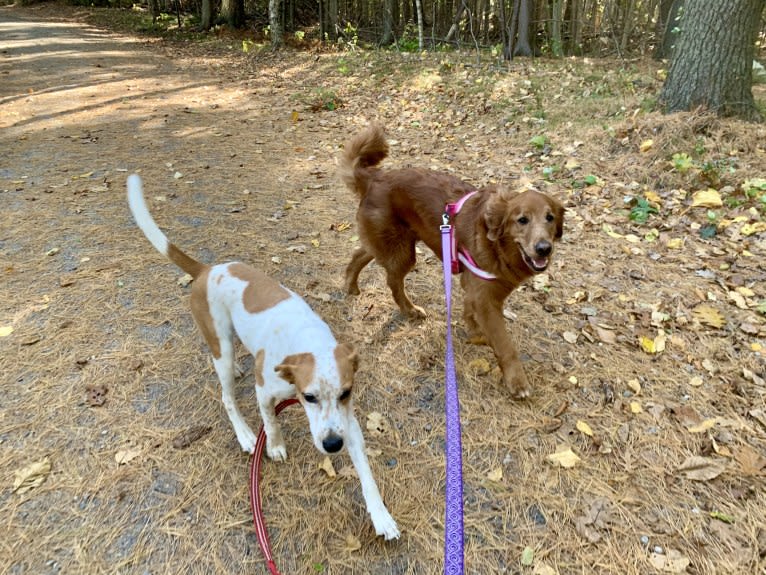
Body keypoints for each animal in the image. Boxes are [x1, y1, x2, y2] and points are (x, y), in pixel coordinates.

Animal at [126, 174, 402, 540]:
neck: (306, 339)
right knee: (226, 397)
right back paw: (244, 433)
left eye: (346, 393)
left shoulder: (347, 420)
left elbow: (367, 473)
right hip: (222, 347)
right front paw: (272, 445)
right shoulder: (266, 390)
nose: (332, 445)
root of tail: (206, 270)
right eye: (309, 397)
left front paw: (381, 516)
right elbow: (269, 420)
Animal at [340, 124, 564, 398]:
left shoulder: (478, 289)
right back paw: (409, 310)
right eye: (522, 220)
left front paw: (476, 334)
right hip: (402, 251)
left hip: (392, 243)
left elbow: (471, 314)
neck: (498, 245)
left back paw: (351, 285)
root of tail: (375, 178)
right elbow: (504, 342)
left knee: (359, 254)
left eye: (550, 218)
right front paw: (516, 380)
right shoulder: (485, 296)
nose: (544, 249)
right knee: (393, 282)